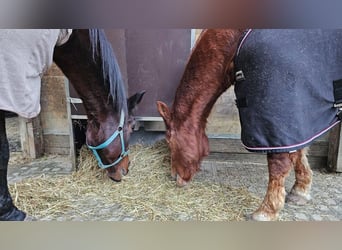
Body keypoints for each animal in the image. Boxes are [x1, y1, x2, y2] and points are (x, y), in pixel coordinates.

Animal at [157, 28, 342, 221]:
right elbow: (299, 152)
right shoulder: (297, 120)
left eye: (169, 141)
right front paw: (300, 191)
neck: (235, 41)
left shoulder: (278, 113)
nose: (175, 177)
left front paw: (266, 211)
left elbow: (279, 163)